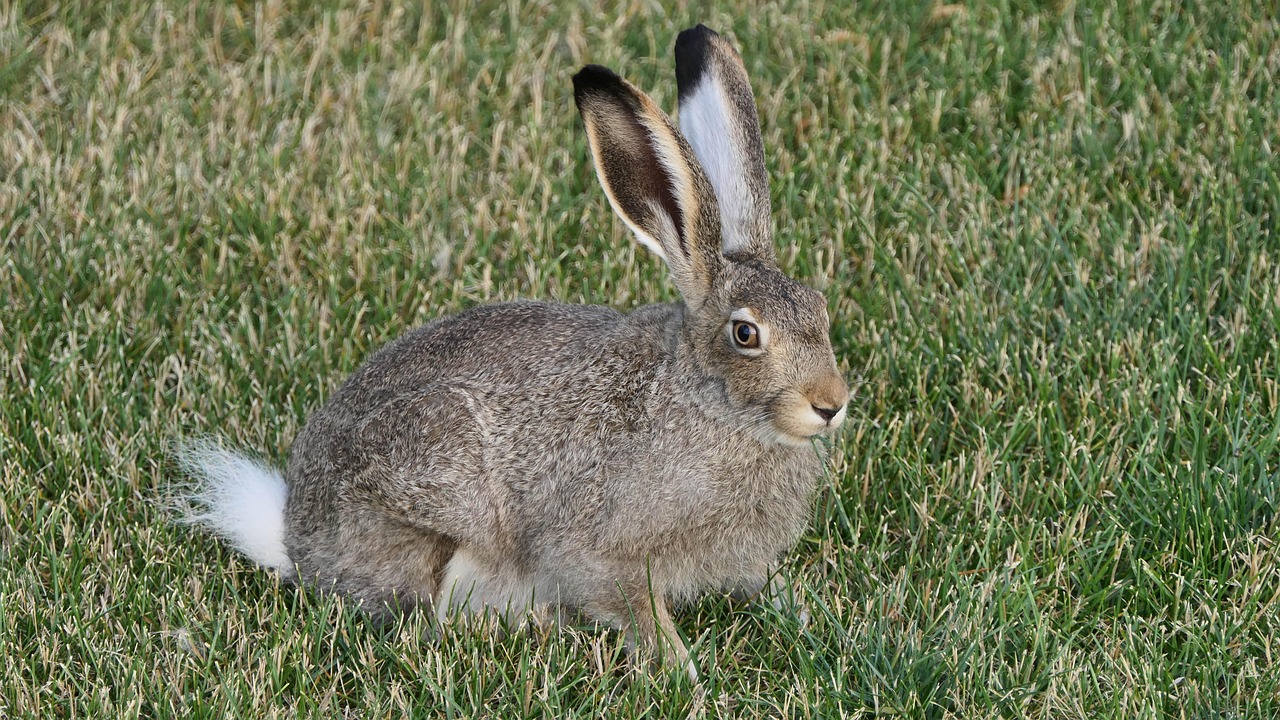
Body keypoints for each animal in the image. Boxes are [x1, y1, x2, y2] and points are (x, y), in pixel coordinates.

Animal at [177, 24, 849, 678]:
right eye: (746, 334)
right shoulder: (603, 550)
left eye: (820, 309)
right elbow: (635, 608)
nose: (831, 404)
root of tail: (296, 537)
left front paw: (803, 612)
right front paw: (686, 674)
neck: (711, 401)